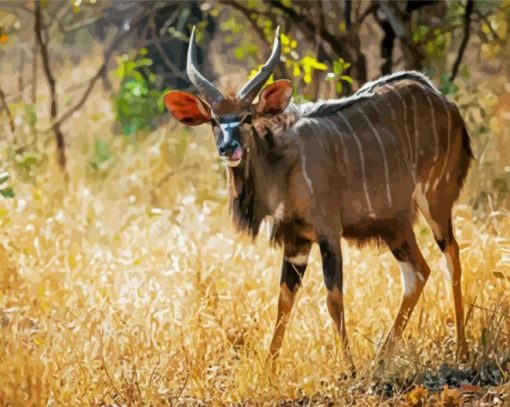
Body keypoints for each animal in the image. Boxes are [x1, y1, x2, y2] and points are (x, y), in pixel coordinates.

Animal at [163, 27, 470, 364]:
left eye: (247, 117)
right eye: (215, 121)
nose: (228, 148)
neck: (285, 165)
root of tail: (447, 103)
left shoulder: (328, 233)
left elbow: (333, 299)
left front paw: (349, 367)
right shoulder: (296, 241)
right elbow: (284, 300)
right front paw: (269, 367)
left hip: (435, 199)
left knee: (452, 257)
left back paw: (460, 349)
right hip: (396, 225)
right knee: (418, 272)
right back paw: (382, 356)